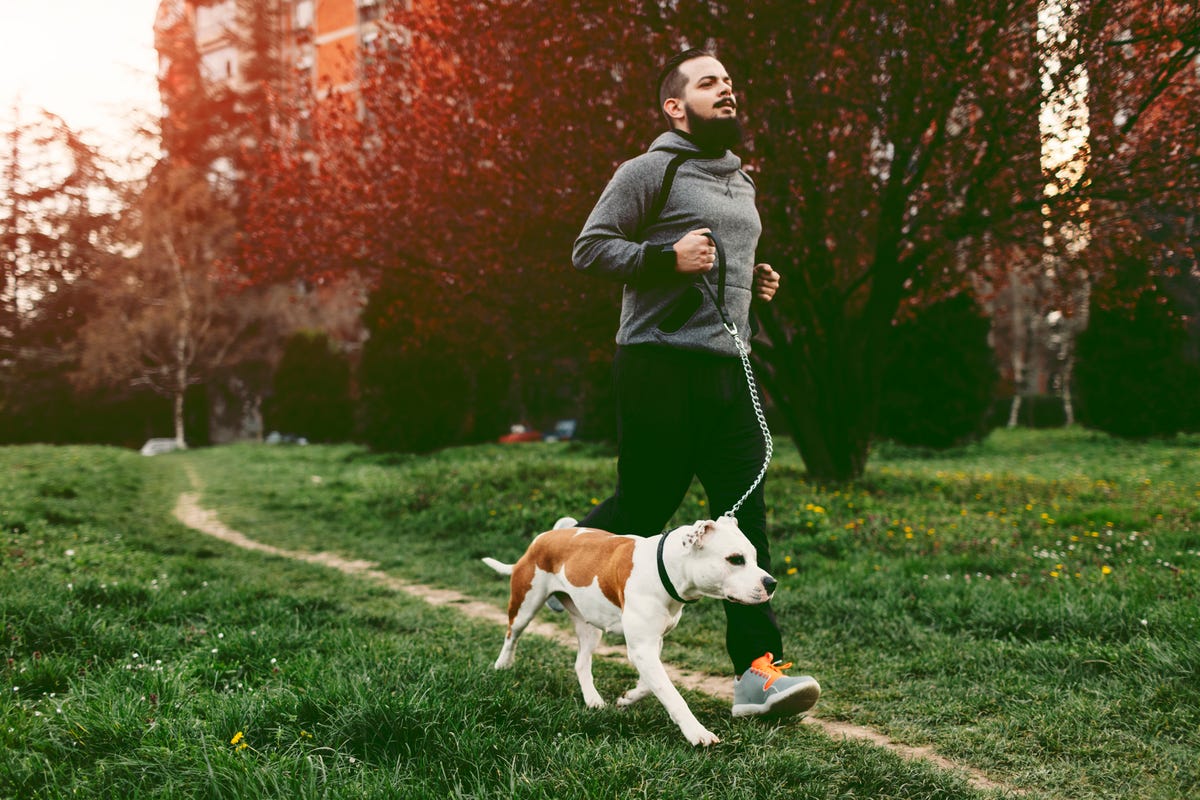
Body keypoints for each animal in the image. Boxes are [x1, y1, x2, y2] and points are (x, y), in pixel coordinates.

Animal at [484, 515, 777, 748]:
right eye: (735, 559)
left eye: (754, 557)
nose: (771, 582)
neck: (665, 569)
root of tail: (544, 537)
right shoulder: (642, 648)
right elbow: (672, 694)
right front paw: (697, 732)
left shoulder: (651, 644)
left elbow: (651, 685)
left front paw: (627, 698)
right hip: (525, 604)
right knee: (512, 634)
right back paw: (502, 665)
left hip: (590, 625)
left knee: (581, 663)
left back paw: (593, 700)